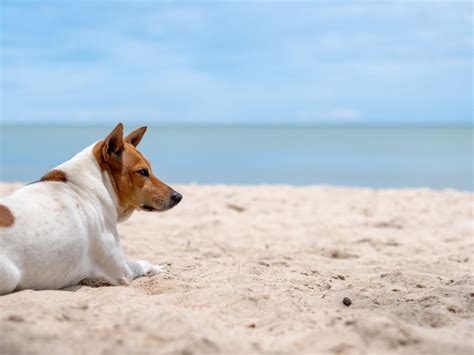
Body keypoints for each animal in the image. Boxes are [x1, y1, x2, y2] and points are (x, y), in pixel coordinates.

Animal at [0, 124, 181, 296]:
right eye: (143, 171)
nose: (178, 196)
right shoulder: (122, 269)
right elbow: (144, 263)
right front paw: (158, 267)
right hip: (10, 276)